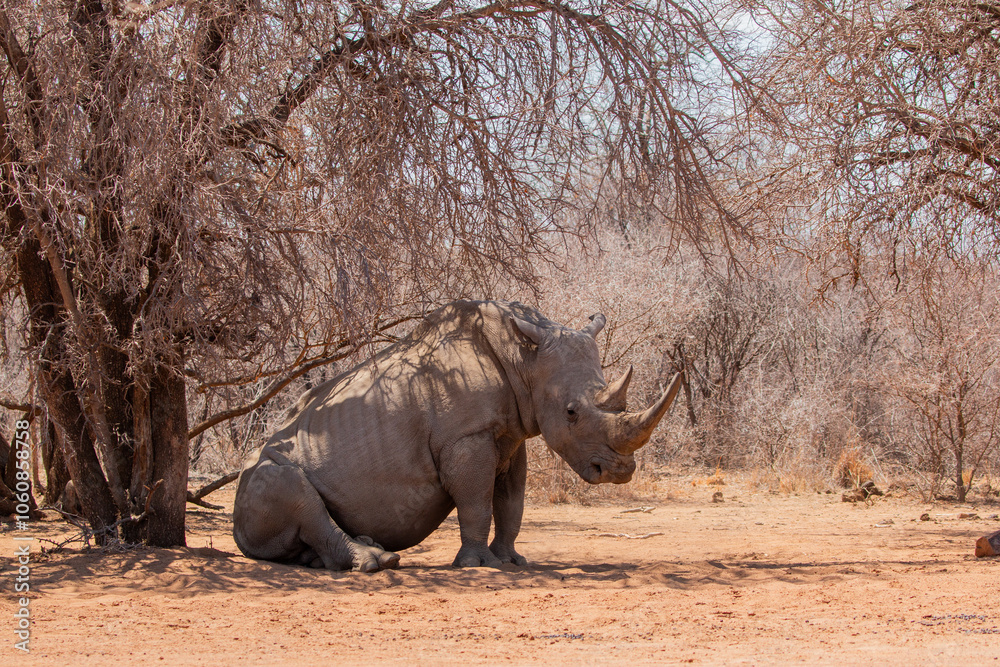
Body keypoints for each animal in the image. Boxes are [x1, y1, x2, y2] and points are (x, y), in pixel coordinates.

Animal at [233, 300, 681, 572]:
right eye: (571, 412)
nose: (620, 471)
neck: (524, 358)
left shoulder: (511, 436)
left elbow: (512, 504)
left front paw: (512, 562)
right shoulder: (466, 439)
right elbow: (477, 501)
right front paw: (477, 566)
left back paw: (366, 551)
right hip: (259, 473)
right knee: (289, 484)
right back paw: (375, 562)